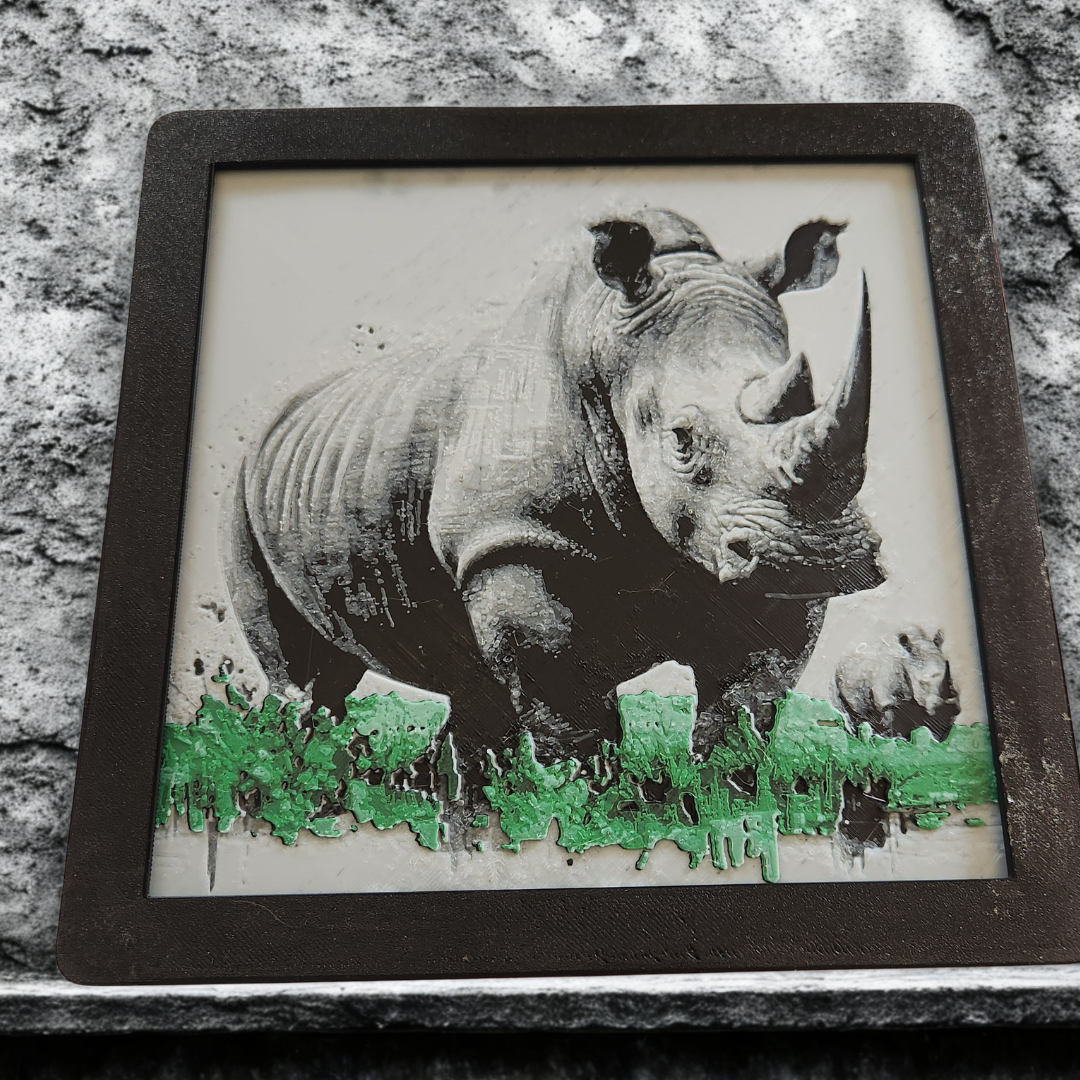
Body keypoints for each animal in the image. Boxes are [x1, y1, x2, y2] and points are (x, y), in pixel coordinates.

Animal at [230, 208, 883, 780]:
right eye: (681, 440)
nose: (821, 555)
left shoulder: (748, 559)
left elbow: (745, 707)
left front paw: (725, 795)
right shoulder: (511, 540)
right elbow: (572, 717)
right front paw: (589, 809)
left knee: (467, 683)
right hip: (240, 490)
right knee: (303, 674)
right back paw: (299, 773)